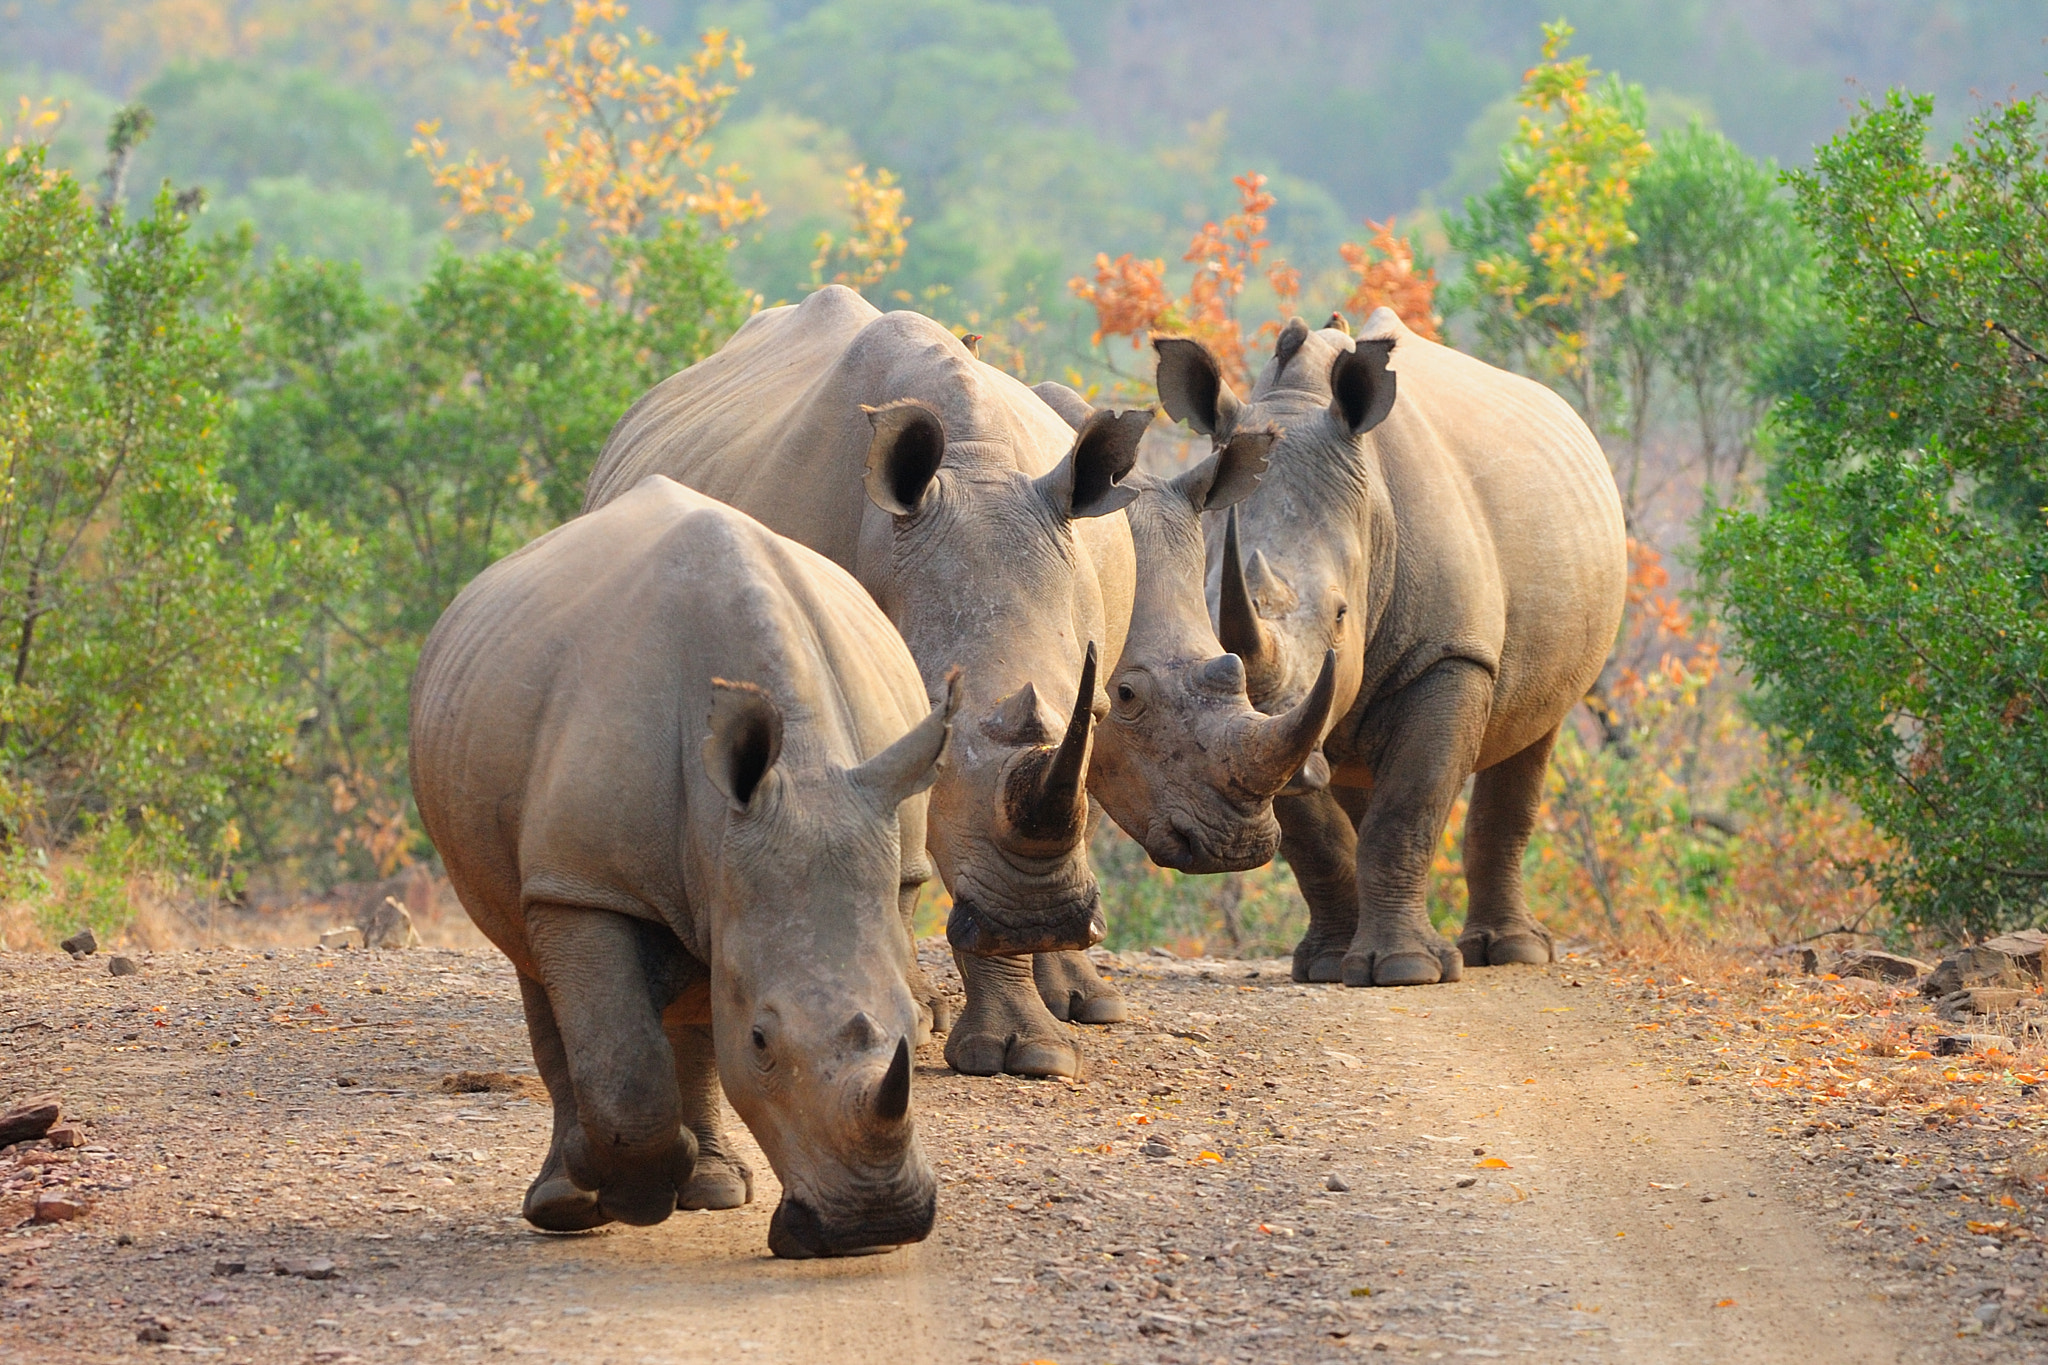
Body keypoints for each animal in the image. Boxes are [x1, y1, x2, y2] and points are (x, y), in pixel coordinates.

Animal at [417, 480, 966, 1260]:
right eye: (762, 1043)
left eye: (914, 1037)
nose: (873, 1227)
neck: (800, 771)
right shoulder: (586, 883)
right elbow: (620, 1056)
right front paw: (633, 1195)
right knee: (539, 969)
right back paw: (566, 1201)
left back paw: (712, 1190)